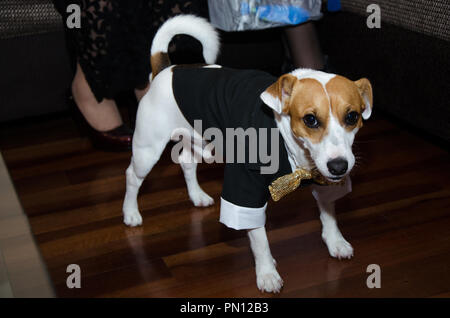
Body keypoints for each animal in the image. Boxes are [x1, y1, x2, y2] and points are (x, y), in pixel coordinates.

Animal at [122, 14, 372, 294]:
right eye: (310, 120)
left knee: (186, 164)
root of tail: (166, 69)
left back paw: (197, 195)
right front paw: (266, 272)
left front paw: (334, 240)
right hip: (147, 151)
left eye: (352, 117)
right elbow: (259, 240)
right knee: (132, 176)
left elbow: (328, 212)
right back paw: (130, 212)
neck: (284, 135)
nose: (339, 166)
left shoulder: (324, 176)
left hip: (197, 141)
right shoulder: (244, 188)